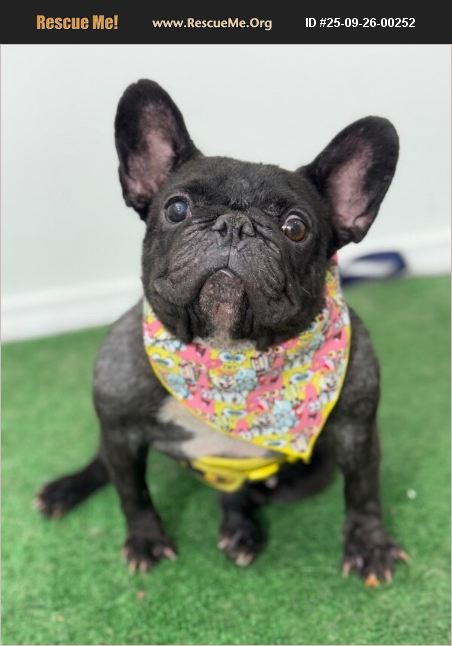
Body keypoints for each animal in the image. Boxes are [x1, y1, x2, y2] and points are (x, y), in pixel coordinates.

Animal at [36, 79, 407, 586]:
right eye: (177, 208)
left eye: (295, 227)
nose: (235, 225)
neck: (226, 356)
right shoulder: (120, 431)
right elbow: (132, 493)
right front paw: (146, 540)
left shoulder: (356, 432)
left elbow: (364, 490)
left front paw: (370, 546)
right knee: (103, 467)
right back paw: (65, 489)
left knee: (242, 493)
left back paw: (240, 530)